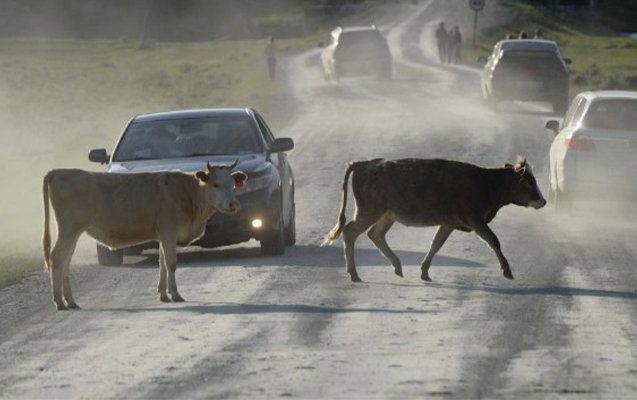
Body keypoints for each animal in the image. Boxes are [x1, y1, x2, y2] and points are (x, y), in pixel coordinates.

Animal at [42, 161, 246, 310]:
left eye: (233, 185)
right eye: (216, 184)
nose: (233, 204)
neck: (188, 193)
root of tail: (60, 171)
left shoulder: (163, 236)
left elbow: (162, 263)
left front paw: (163, 294)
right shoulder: (169, 232)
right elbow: (171, 264)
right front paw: (175, 294)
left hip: (73, 232)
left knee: (66, 261)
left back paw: (70, 300)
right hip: (69, 229)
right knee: (57, 258)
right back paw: (59, 301)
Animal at [322, 158, 548, 282]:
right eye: (530, 181)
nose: (543, 200)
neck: (485, 182)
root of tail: (364, 163)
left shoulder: (448, 223)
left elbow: (436, 244)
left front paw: (424, 271)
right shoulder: (475, 220)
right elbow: (493, 241)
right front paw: (507, 270)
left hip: (386, 214)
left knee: (375, 234)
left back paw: (397, 266)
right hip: (369, 211)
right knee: (350, 232)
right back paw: (354, 273)